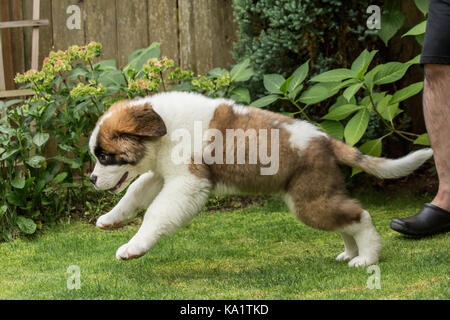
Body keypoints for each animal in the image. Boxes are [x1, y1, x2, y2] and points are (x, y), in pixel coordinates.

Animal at [89, 91, 432, 266]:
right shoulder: (163, 175)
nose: (92, 179)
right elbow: (134, 192)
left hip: (308, 201)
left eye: (105, 156)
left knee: (361, 216)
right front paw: (110, 219)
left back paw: (368, 258)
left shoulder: (187, 183)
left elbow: (156, 214)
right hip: (319, 196)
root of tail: (325, 140)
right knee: (346, 218)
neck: (164, 128)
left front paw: (133, 247)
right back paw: (351, 252)